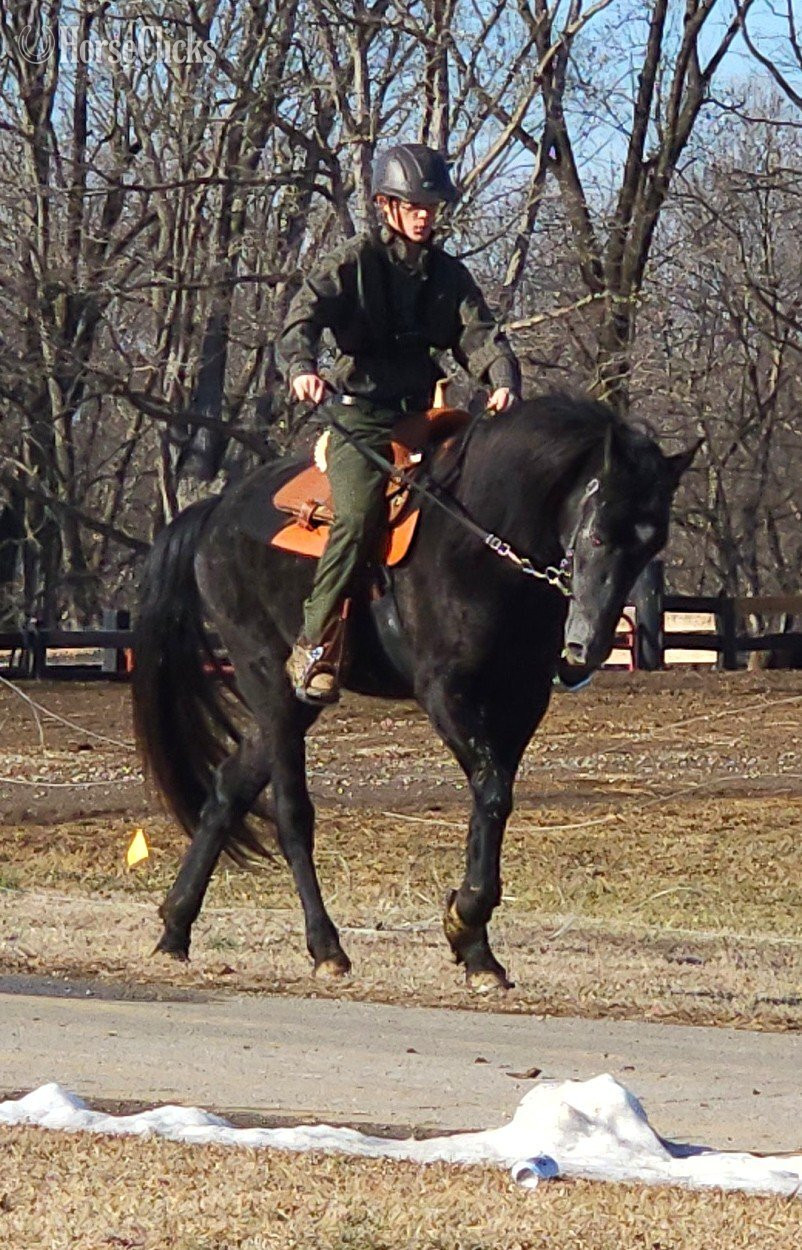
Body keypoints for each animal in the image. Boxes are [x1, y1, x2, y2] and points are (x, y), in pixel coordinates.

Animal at [132, 393, 698, 991]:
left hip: (289, 703)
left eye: (653, 543)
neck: (482, 540)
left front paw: (474, 946)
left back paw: (175, 930)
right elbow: (491, 791)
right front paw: (465, 922)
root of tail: (215, 511)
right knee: (290, 815)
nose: (587, 645)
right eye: (597, 533)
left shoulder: (521, 700)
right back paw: (325, 947)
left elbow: (494, 800)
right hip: (268, 680)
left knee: (227, 790)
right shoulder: (445, 692)